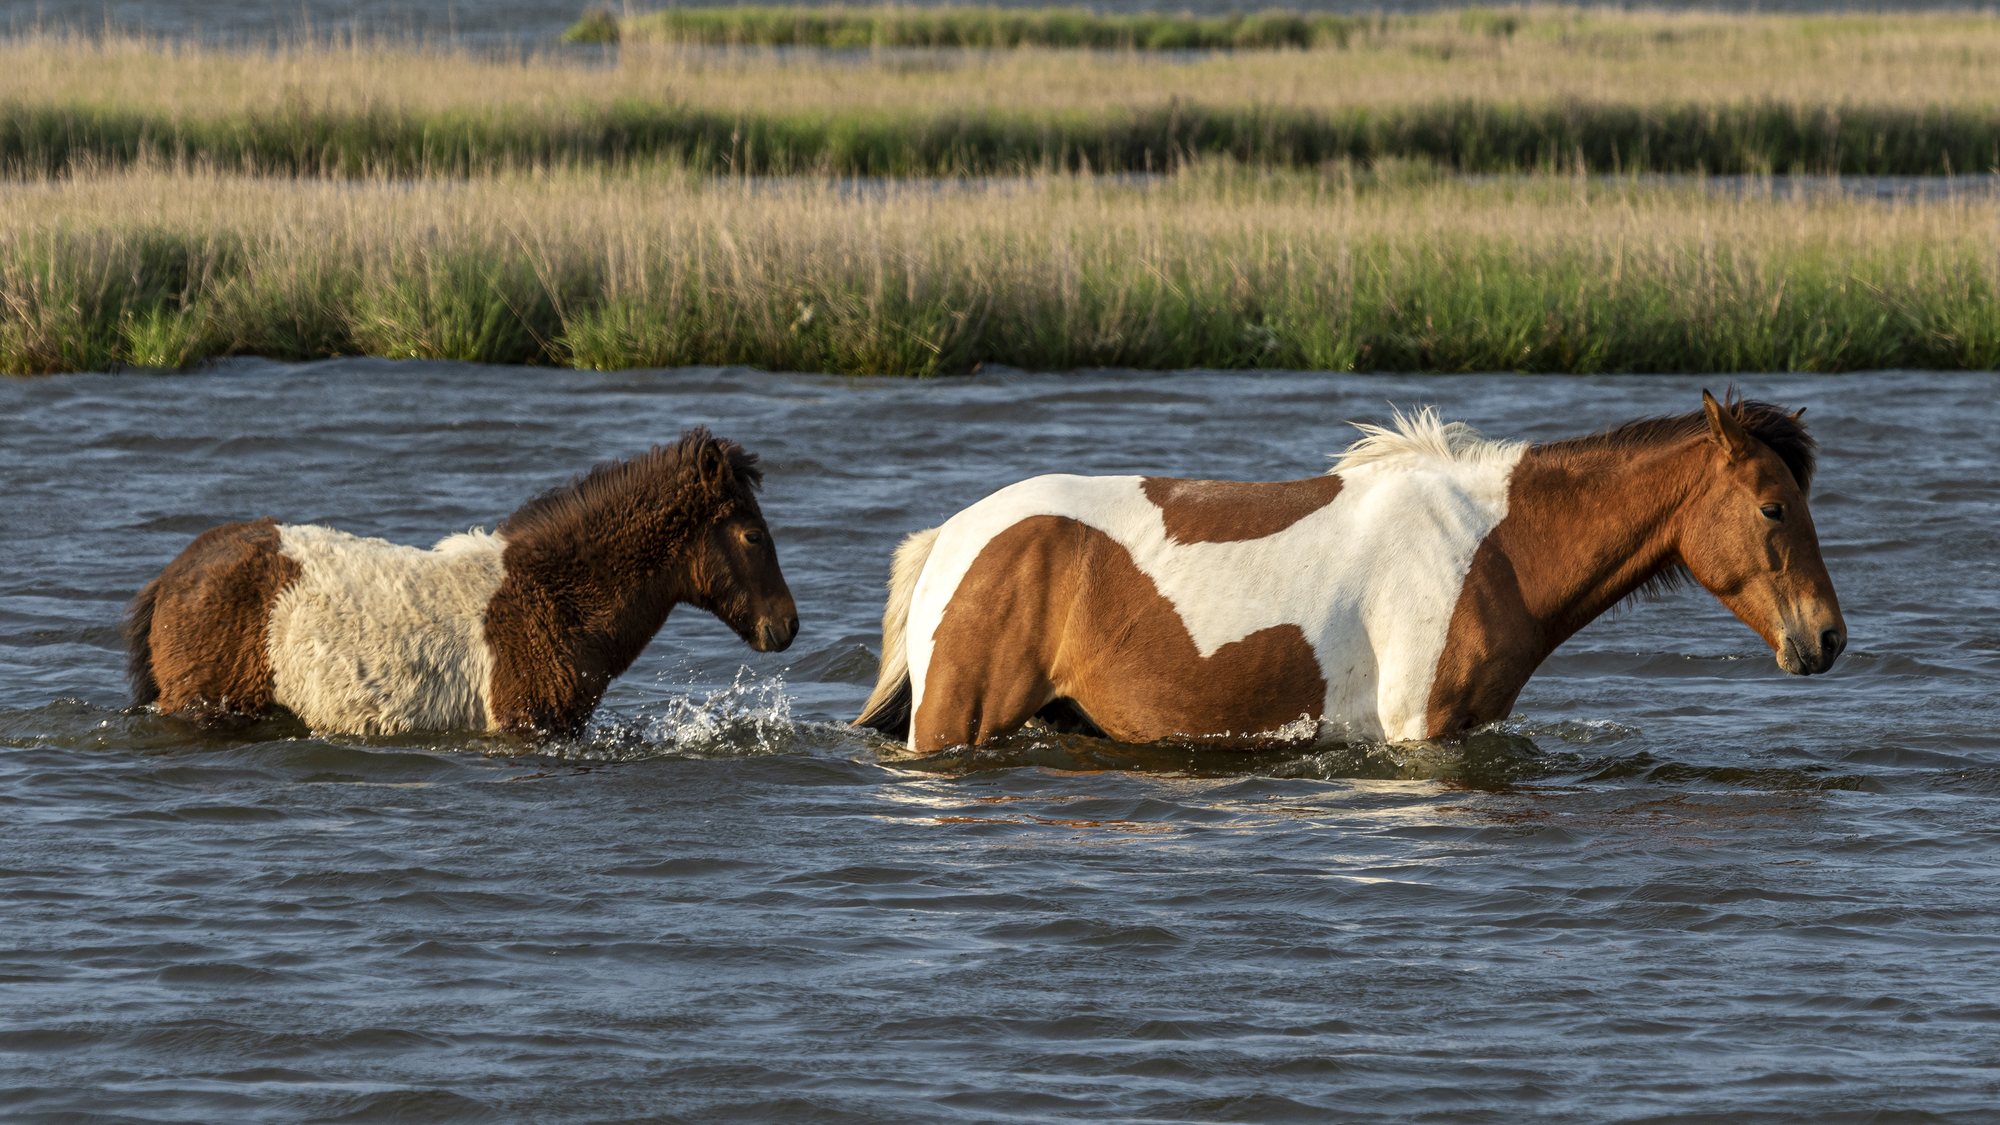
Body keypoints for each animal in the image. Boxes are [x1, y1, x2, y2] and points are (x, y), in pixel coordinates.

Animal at [856, 391, 1845, 756]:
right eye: (1773, 507)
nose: (1827, 637)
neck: (1491, 546)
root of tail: (951, 537)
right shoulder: (1418, 730)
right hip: (956, 720)